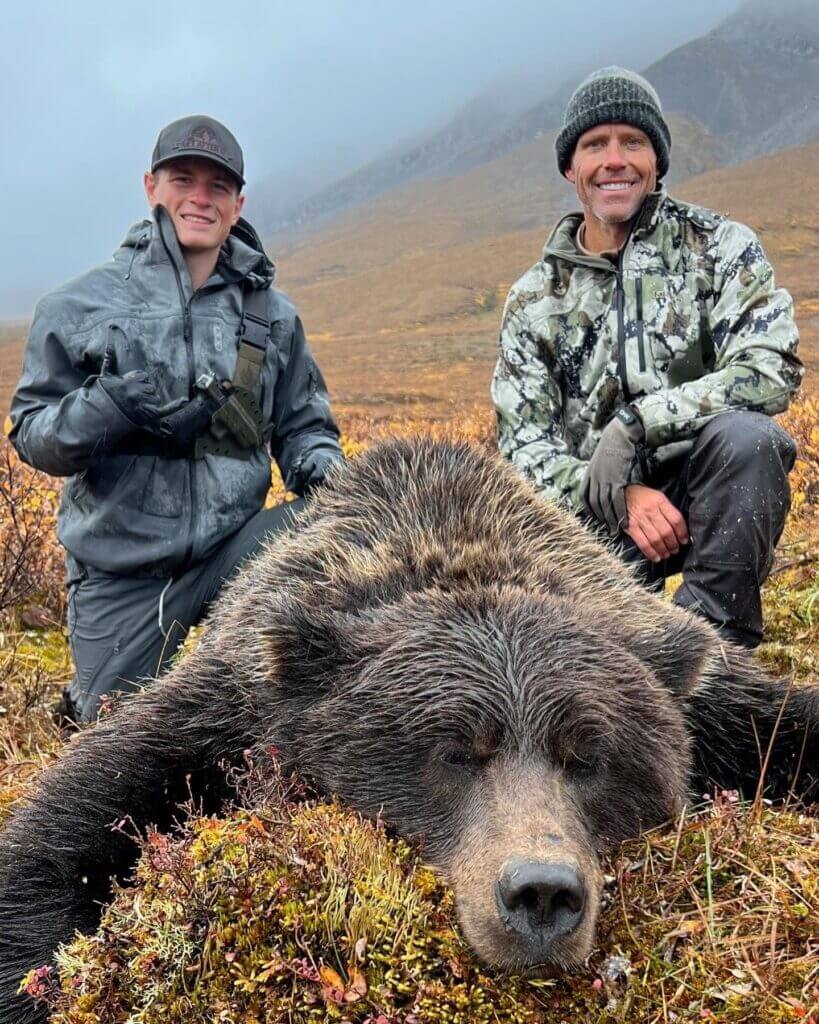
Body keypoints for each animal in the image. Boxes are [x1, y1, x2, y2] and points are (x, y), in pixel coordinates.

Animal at [0, 437, 817, 1024]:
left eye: (588, 757)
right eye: (454, 753)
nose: (542, 894)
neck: (451, 540)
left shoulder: (712, 704)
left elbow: (787, 727)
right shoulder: (227, 709)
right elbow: (65, 835)